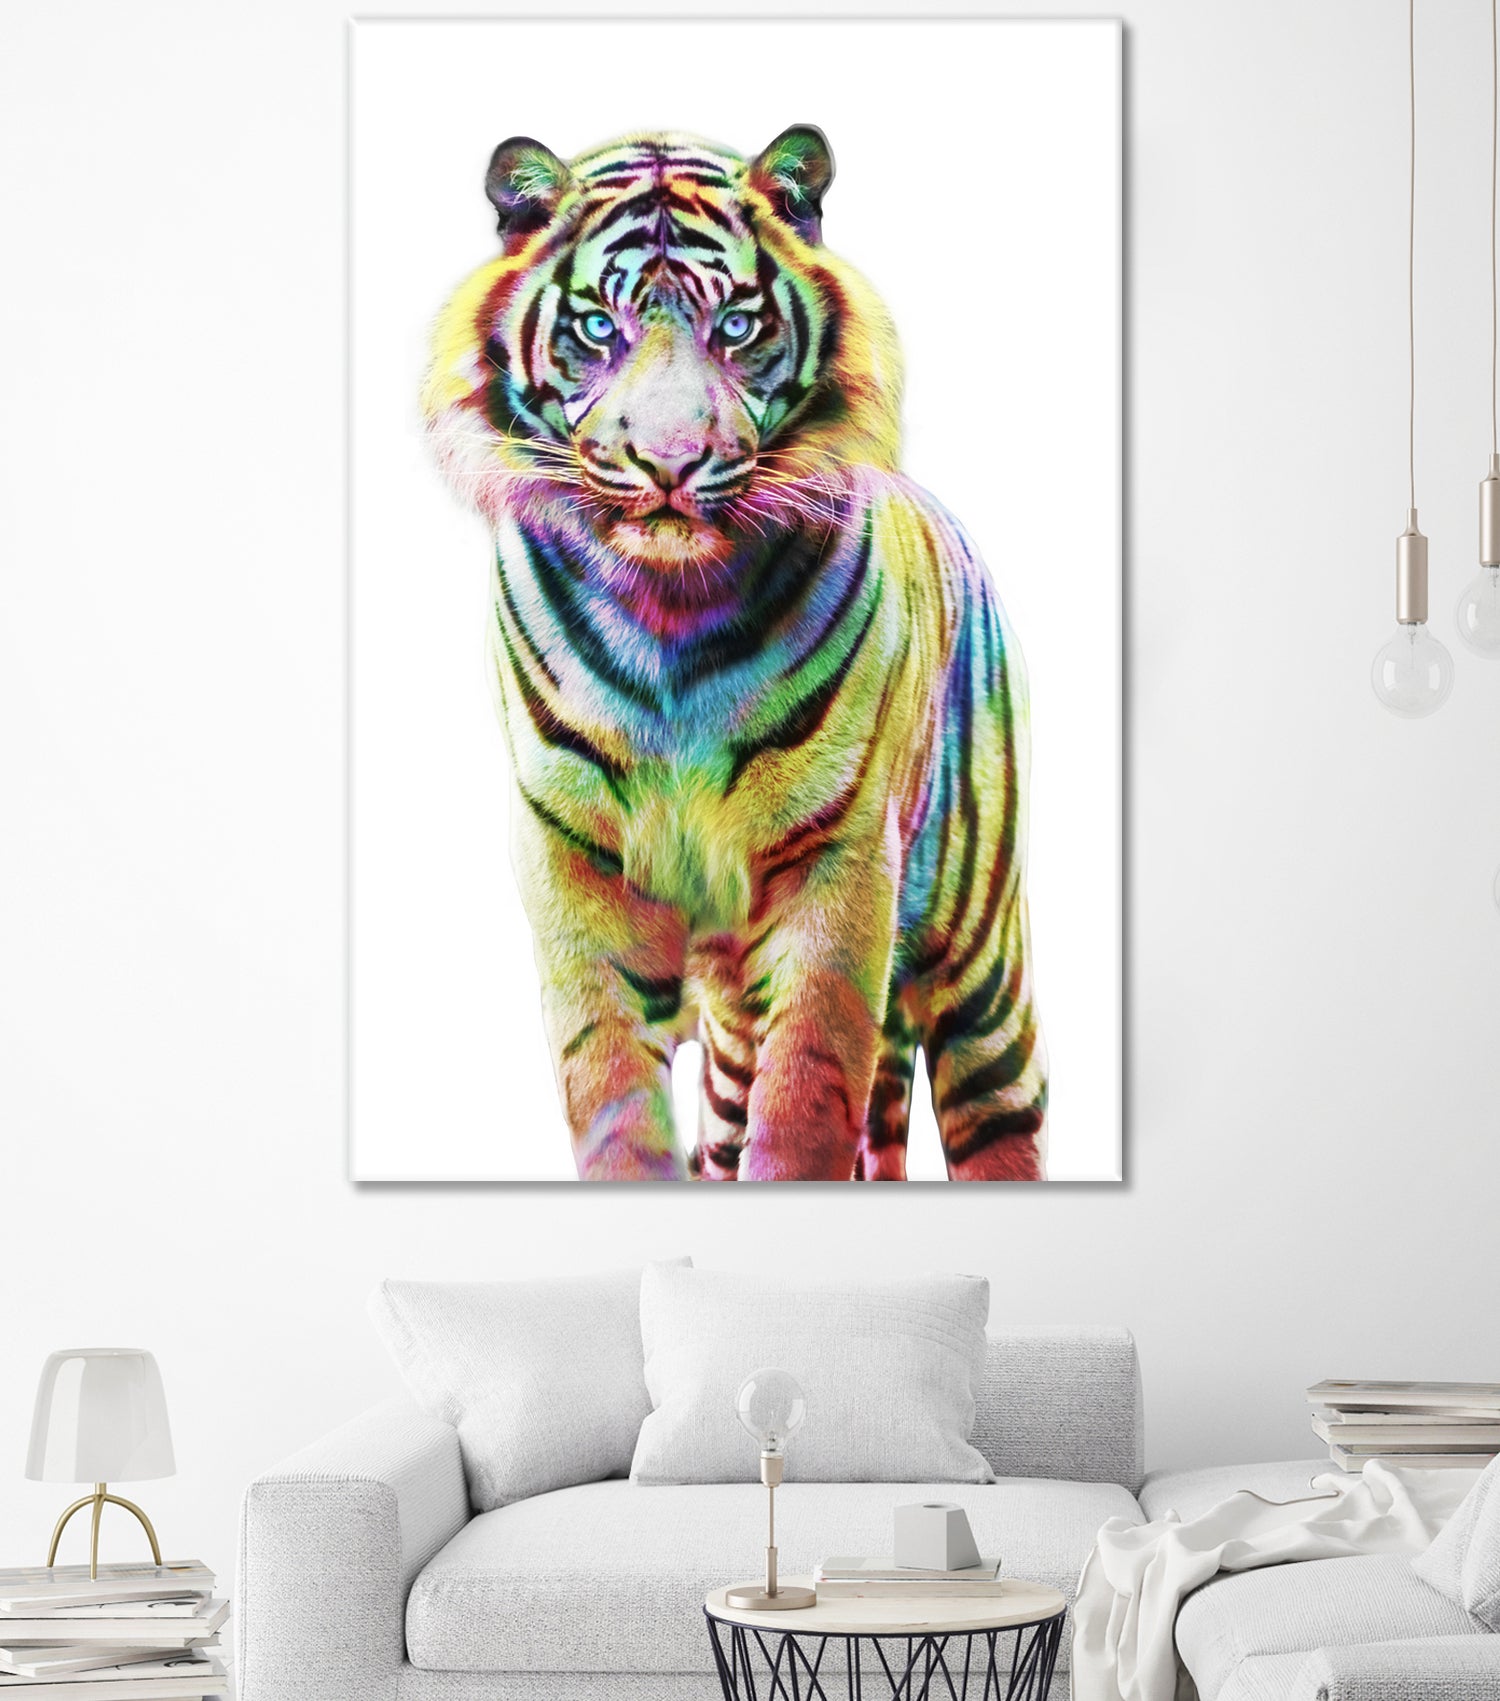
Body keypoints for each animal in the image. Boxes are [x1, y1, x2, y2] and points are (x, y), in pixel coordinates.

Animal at [422, 124, 1048, 1181]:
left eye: (739, 326)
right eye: (598, 328)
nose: (670, 462)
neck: (668, 616)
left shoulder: (838, 864)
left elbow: (805, 1101)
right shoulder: (571, 860)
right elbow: (611, 1094)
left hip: (980, 970)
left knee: (999, 1117)